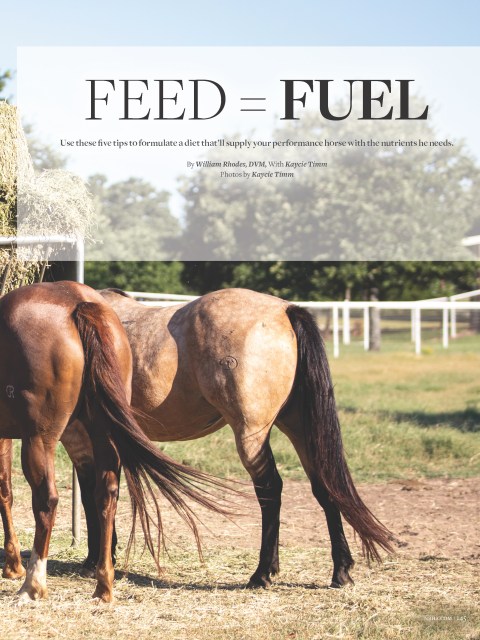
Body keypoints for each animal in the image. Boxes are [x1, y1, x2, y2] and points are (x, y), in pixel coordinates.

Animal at [0, 281, 235, 602]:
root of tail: (78, 303)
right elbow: (6, 491)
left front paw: (14, 566)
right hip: (102, 433)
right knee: (106, 493)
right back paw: (103, 585)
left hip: (40, 439)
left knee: (47, 500)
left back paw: (33, 585)